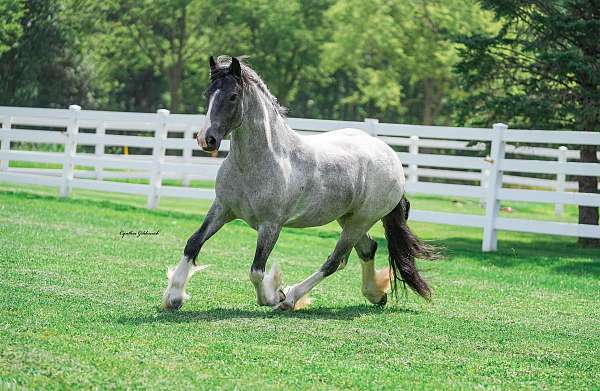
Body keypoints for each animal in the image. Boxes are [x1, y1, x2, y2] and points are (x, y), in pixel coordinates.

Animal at [163, 56, 436, 312]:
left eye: (232, 96)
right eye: (208, 94)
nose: (206, 139)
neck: (258, 162)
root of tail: (390, 155)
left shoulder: (271, 225)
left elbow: (257, 270)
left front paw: (273, 295)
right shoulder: (222, 208)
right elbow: (193, 243)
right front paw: (173, 297)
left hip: (360, 221)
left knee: (335, 260)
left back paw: (291, 299)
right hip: (348, 217)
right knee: (368, 248)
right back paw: (375, 294)